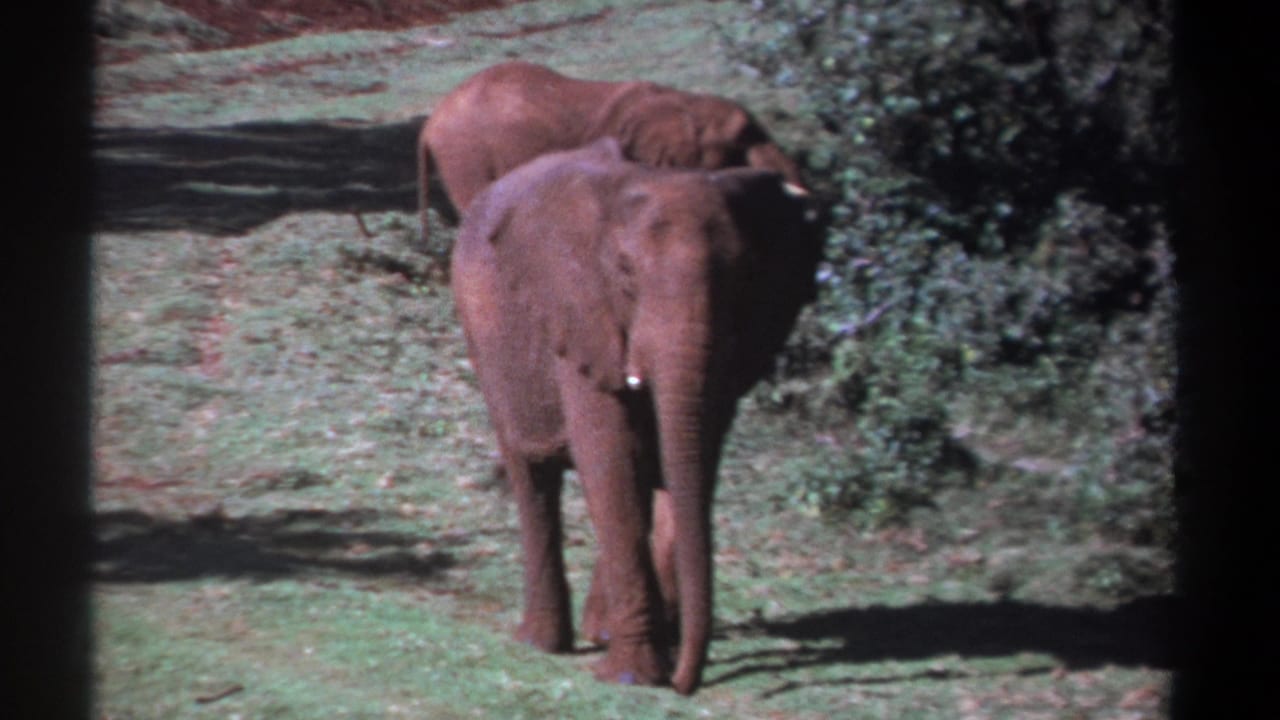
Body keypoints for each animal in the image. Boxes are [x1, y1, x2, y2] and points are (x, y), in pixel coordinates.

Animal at [449, 137, 822, 694]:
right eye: (625, 274)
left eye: (745, 276)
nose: (686, 683)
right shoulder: (580, 314)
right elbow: (612, 457)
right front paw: (633, 678)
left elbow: (682, 458)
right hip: (485, 337)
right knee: (531, 473)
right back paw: (542, 643)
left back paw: (598, 634)